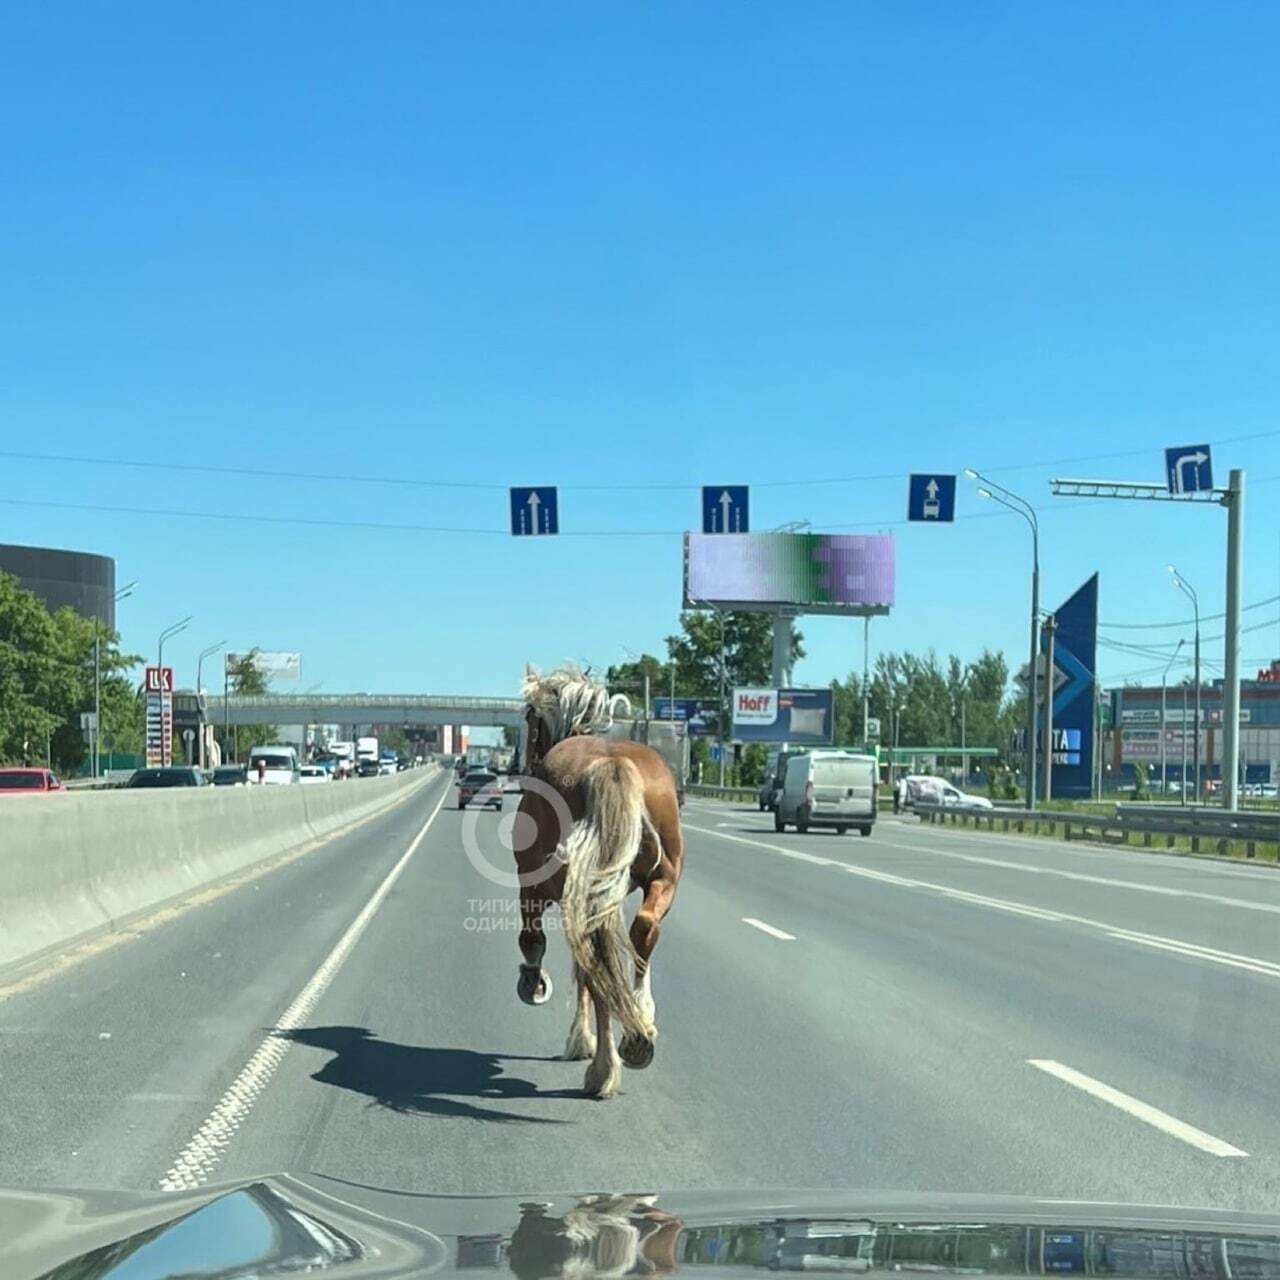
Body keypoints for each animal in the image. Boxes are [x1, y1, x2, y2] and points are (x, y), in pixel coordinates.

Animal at [512, 665, 686, 1095]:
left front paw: (534, 984)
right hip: (664, 877)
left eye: (529, 719)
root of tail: (612, 764)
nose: (522, 763)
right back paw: (640, 1027)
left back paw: (604, 1067)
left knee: (592, 965)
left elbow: (533, 941)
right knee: (643, 930)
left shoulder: (533, 889)